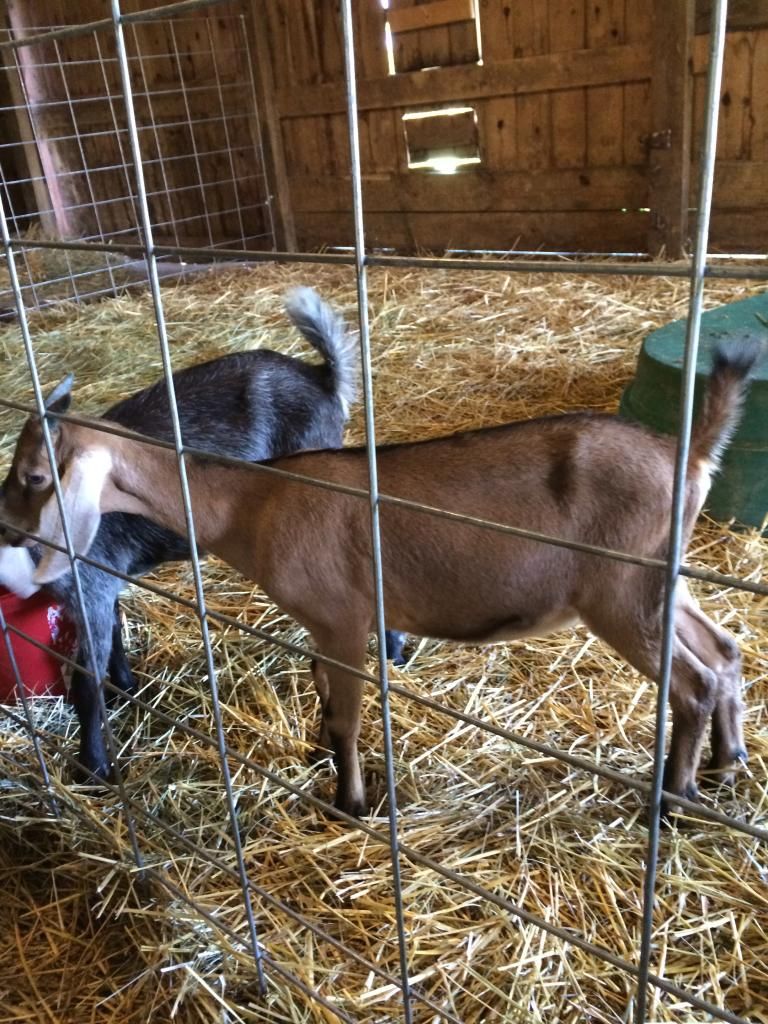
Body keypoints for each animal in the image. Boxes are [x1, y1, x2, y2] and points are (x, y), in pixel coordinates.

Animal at [0, 285, 404, 779]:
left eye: (36, 476)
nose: (9, 527)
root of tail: (323, 378)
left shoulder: (89, 584)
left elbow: (86, 684)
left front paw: (93, 768)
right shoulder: (103, 583)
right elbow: (115, 633)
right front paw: (128, 686)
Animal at [0, 343, 760, 817]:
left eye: (35, 476)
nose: (6, 529)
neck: (252, 501)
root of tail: (693, 454)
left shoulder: (344, 618)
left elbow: (348, 714)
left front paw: (351, 803)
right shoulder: (320, 623)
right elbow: (319, 688)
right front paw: (316, 754)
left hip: (622, 594)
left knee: (691, 684)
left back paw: (673, 801)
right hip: (662, 585)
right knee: (723, 651)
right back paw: (727, 762)